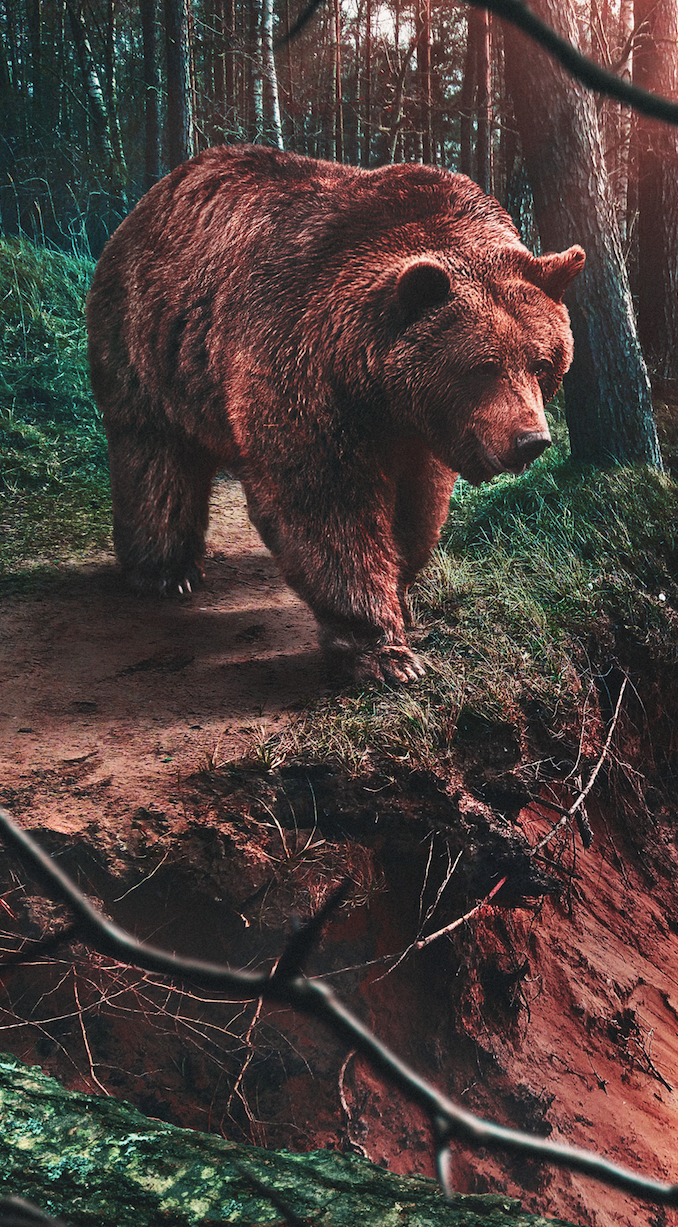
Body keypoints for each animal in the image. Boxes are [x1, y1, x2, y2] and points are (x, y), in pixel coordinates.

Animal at [87, 144, 585, 686]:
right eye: (484, 366)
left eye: (542, 362)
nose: (531, 439)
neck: (378, 389)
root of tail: (155, 195)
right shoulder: (302, 369)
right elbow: (330, 508)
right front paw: (385, 653)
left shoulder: (424, 432)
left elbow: (418, 510)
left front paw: (403, 595)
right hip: (149, 344)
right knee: (156, 461)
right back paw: (166, 572)